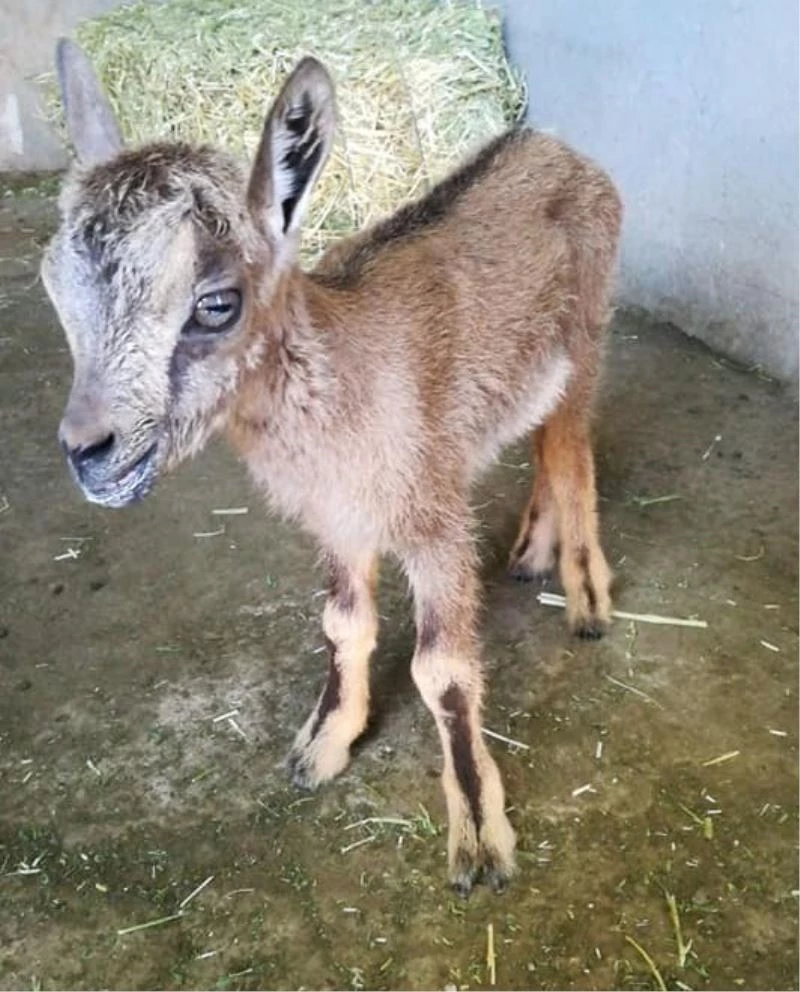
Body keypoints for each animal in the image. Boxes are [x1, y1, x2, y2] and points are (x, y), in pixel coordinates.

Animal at [42, 40, 621, 894]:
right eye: (55, 285)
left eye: (216, 302)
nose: (89, 451)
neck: (343, 377)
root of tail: (561, 151)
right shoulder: (338, 520)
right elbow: (343, 624)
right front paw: (322, 747)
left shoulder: (432, 514)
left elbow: (443, 670)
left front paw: (479, 840)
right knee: (547, 438)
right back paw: (530, 553)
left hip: (587, 334)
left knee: (571, 445)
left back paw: (585, 597)